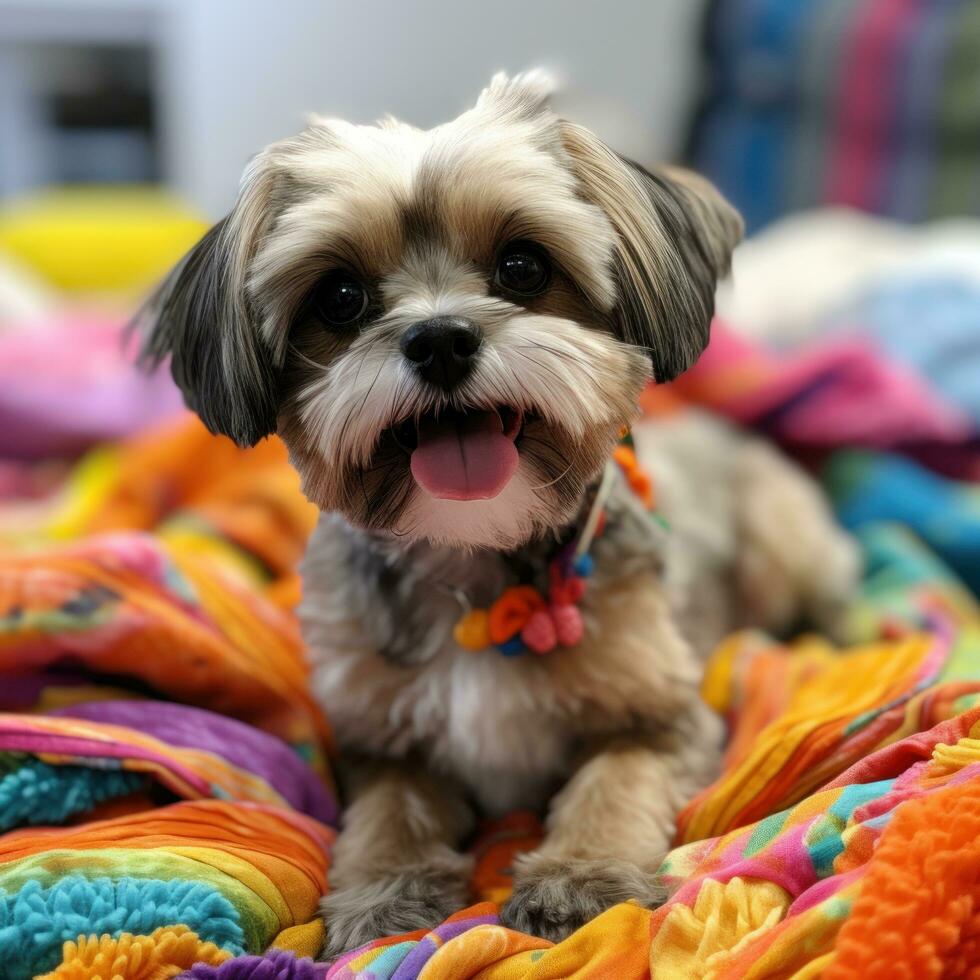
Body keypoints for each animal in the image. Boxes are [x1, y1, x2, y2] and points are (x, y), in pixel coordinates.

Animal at [140, 74, 856, 956]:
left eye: (522, 265)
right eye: (339, 297)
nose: (440, 338)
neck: (474, 562)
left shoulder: (663, 717)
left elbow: (612, 780)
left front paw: (579, 873)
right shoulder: (380, 738)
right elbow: (388, 811)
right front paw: (385, 886)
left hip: (782, 539)